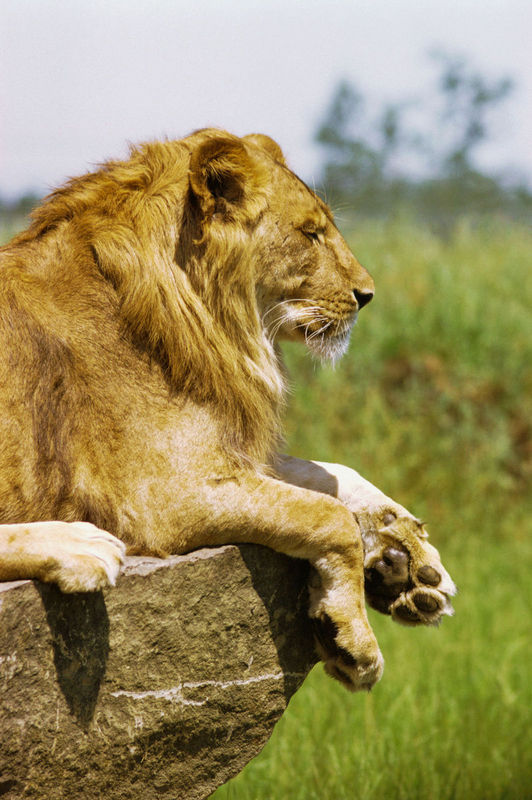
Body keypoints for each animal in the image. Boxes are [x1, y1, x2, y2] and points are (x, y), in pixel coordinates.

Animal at [0, 129, 455, 691]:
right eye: (310, 233)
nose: (366, 295)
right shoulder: (160, 497)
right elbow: (326, 514)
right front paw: (350, 635)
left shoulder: (226, 450)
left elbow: (331, 475)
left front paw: (409, 562)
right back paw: (80, 548)